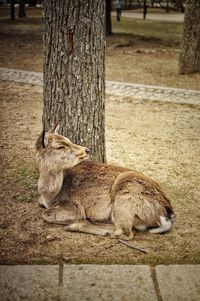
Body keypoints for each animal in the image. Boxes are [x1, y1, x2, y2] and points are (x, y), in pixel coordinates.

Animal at [36, 123, 175, 239]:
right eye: (60, 146)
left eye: (68, 140)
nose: (86, 150)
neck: (51, 195)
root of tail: (166, 214)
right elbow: (40, 203)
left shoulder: (74, 206)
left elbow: (45, 214)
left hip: (125, 196)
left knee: (126, 232)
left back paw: (78, 225)